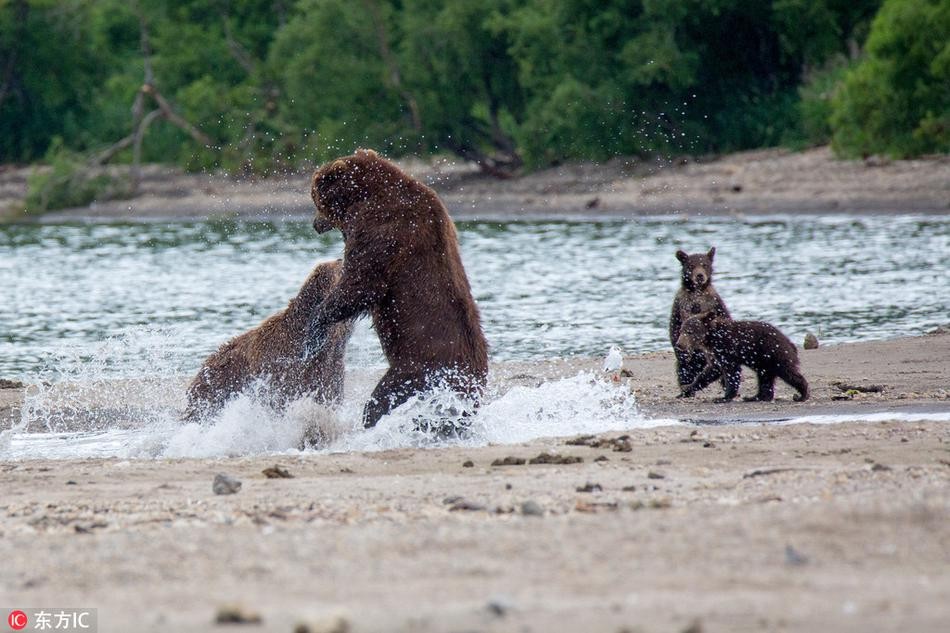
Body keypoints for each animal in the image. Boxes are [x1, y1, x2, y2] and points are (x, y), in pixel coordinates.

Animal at [308, 147, 490, 430]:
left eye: (315, 196)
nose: (315, 224)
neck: (364, 197)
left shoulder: (383, 229)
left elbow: (362, 283)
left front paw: (317, 322)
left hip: (415, 368)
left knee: (381, 400)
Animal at [668, 248, 736, 388]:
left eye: (704, 264)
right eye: (691, 265)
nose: (700, 276)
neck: (697, 293)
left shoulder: (714, 303)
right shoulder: (680, 304)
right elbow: (675, 328)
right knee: (685, 370)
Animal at [676, 312, 812, 402]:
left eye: (689, 332)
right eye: (681, 330)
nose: (679, 344)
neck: (711, 338)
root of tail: (789, 341)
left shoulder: (726, 347)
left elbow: (731, 371)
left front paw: (724, 397)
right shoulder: (714, 353)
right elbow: (710, 371)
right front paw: (686, 390)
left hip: (775, 353)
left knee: (788, 372)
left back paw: (802, 394)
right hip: (764, 362)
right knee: (764, 378)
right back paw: (756, 397)